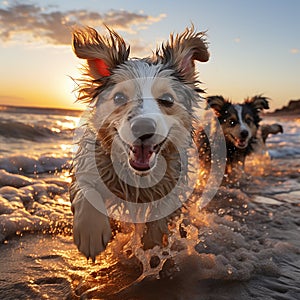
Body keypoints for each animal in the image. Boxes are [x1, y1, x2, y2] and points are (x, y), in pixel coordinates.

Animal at [69, 25, 209, 260]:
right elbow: (86, 190)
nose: (143, 127)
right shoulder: (91, 162)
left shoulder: (170, 186)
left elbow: (158, 221)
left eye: (167, 100)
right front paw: (91, 230)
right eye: (119, 98)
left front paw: (152, 248)